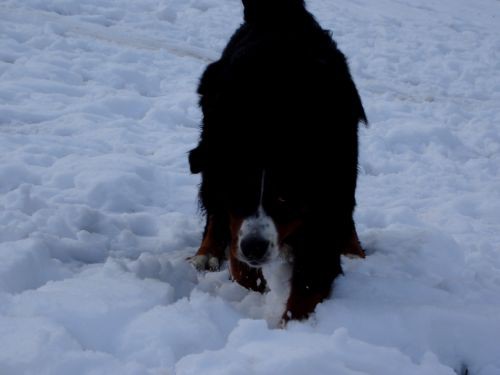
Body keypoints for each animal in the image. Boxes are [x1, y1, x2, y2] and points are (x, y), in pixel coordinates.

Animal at [188, 0, 368, 324]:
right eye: (239, 195)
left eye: (285, 199)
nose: (255, 247)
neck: (272, 128)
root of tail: (278, 12)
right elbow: (239, 264)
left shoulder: (325, 205)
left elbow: (307, 287)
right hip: (208, 144)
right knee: (213, 206)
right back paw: (207, 252)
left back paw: (353, 248)